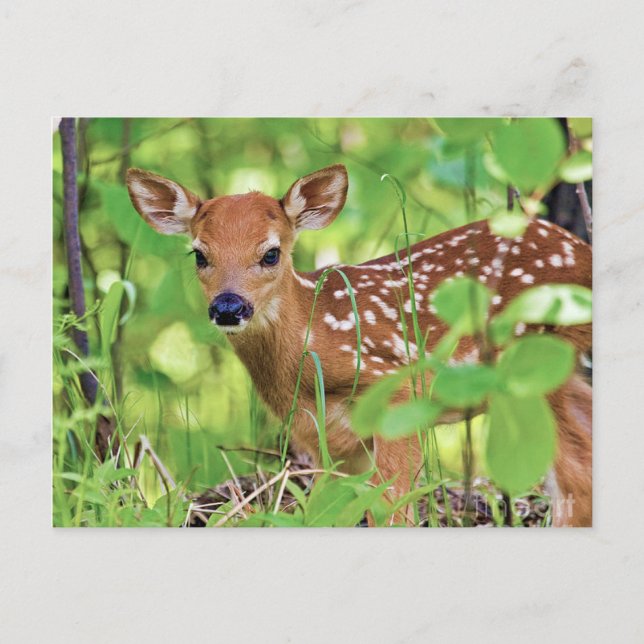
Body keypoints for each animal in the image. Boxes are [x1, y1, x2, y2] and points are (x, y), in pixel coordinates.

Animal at [126, 163, 592, 527]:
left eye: (271, 253)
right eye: (199, 254)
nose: (228, 306)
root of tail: (580, 250)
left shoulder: (399, 388)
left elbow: (393, 510)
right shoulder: (326, 438)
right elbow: (329, 511)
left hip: (543, 359)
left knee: (576, 479)